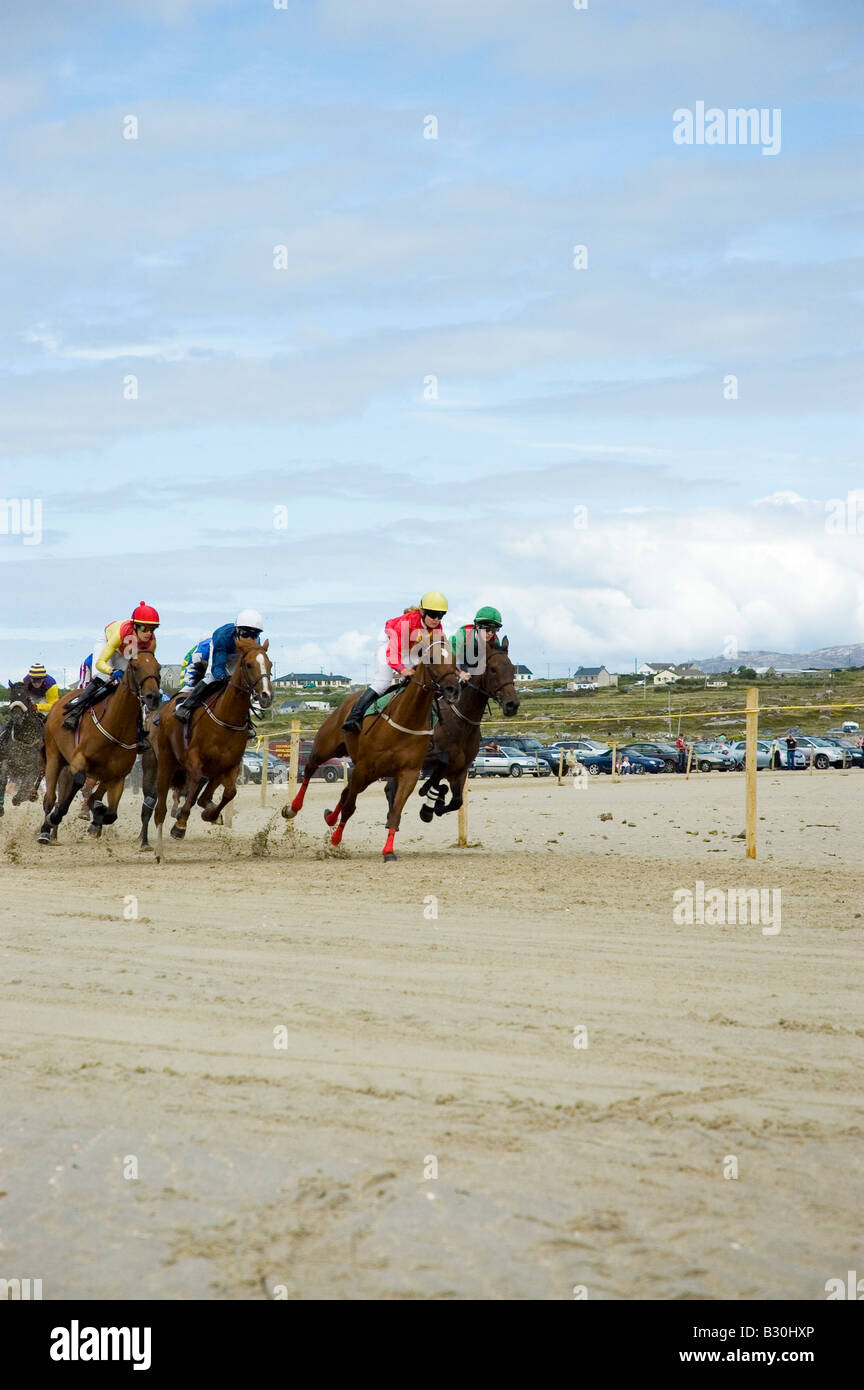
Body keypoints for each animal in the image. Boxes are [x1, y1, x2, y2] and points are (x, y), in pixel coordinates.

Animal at [0, 681, 45, 811]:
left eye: (26, 698)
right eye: (11, 697)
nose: (17, 716)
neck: (24, 740)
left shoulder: (33, 768)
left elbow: (27, 785)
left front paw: (20, 798)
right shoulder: (5, 761)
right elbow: (3, 780)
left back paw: (33, 795)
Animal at [37, 653, 162, 845]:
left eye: (159, 667)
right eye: (135, 667)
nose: (153, 697)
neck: (116, 726)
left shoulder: (118, 776)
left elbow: (110, 813)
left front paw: (96, 819)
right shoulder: (78, 759)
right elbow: (79, 782)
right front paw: (56, 816)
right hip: (54, 756)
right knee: (50, 798)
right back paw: (45, 830)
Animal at [152, 639, 272, 856]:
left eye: (270, 664)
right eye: (249, 664)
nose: (266, 696)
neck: (227, 718)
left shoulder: (230, 764)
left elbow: (230, 792)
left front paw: (211, 814)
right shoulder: (194, 758)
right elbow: (194, 786)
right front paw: (180, 825)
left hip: (214, 768)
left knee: (203, 793)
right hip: (166, 759)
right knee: (165, 799)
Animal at [283, 633, 461, 856]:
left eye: (454, 659)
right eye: (431, 659)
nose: (453, 689)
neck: (406, 719)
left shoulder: (409, 773)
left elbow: (395, 811)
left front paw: (389, 850)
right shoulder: (364, 766)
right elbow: (350, 807)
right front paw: (335, 838)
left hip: (372, 773)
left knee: (346, 791)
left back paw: (330, 817)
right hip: (328, 748)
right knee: (310, 768)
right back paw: (293, 807)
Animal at [386, 636, 522, 822]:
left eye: (512, 670)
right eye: (493, 669)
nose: (512, 705)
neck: (460, 721)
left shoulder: (460, 770)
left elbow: (457, 801)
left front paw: (434, 806)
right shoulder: (431, 759)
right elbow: (435, 777)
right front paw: (429, 801)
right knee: (391, 789)